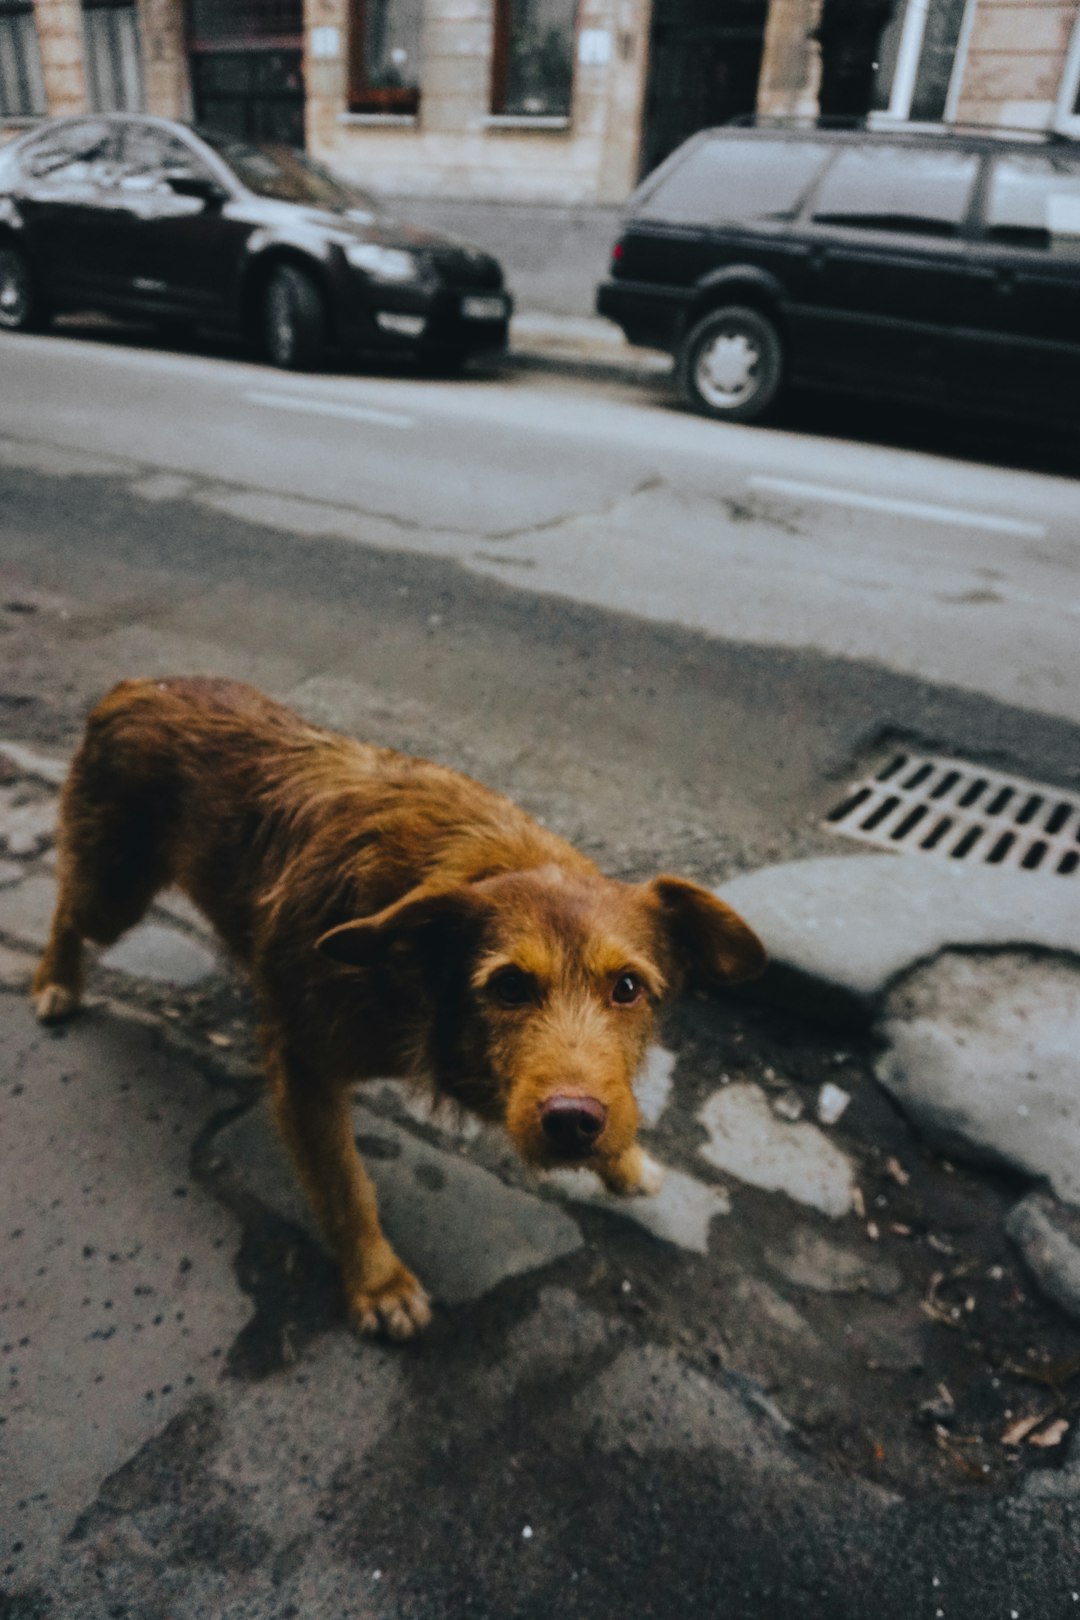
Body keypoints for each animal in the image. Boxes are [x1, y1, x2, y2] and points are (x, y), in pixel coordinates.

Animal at [33, 677, 767, 1334]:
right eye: (508, 987)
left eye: (628, 988)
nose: (572, 1125)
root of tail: (137, 685)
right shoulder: (305, 1066)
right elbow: (345, 1187)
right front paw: (378, 1283)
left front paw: (622, 1160)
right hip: (114, 893)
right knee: (68, 903)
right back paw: (54, 980)